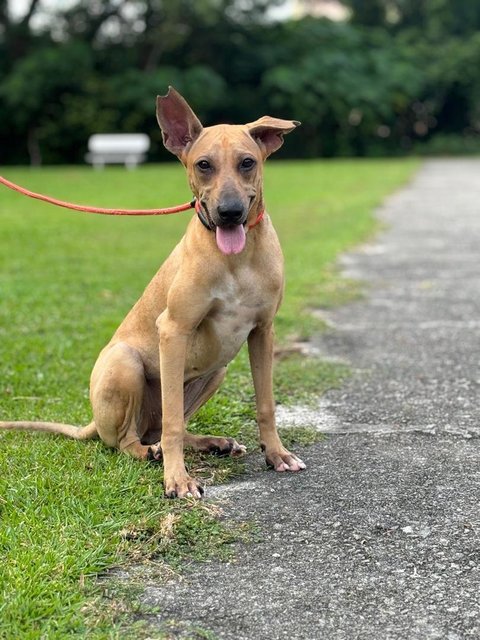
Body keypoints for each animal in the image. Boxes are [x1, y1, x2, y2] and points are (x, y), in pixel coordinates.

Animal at [0, 89, 306, 500]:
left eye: (247, 163)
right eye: (203, 165)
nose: (229, 212)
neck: (237, 260)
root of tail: (93, 422)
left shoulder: (263, 331)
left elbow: (266, 405)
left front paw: (276, 454)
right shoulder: (174, 330)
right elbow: (173, 422)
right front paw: (177, 479)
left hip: (217, 371)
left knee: (162, 428)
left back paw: (211, 442)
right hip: (125, 363)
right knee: (131, 439)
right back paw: (152, 453)